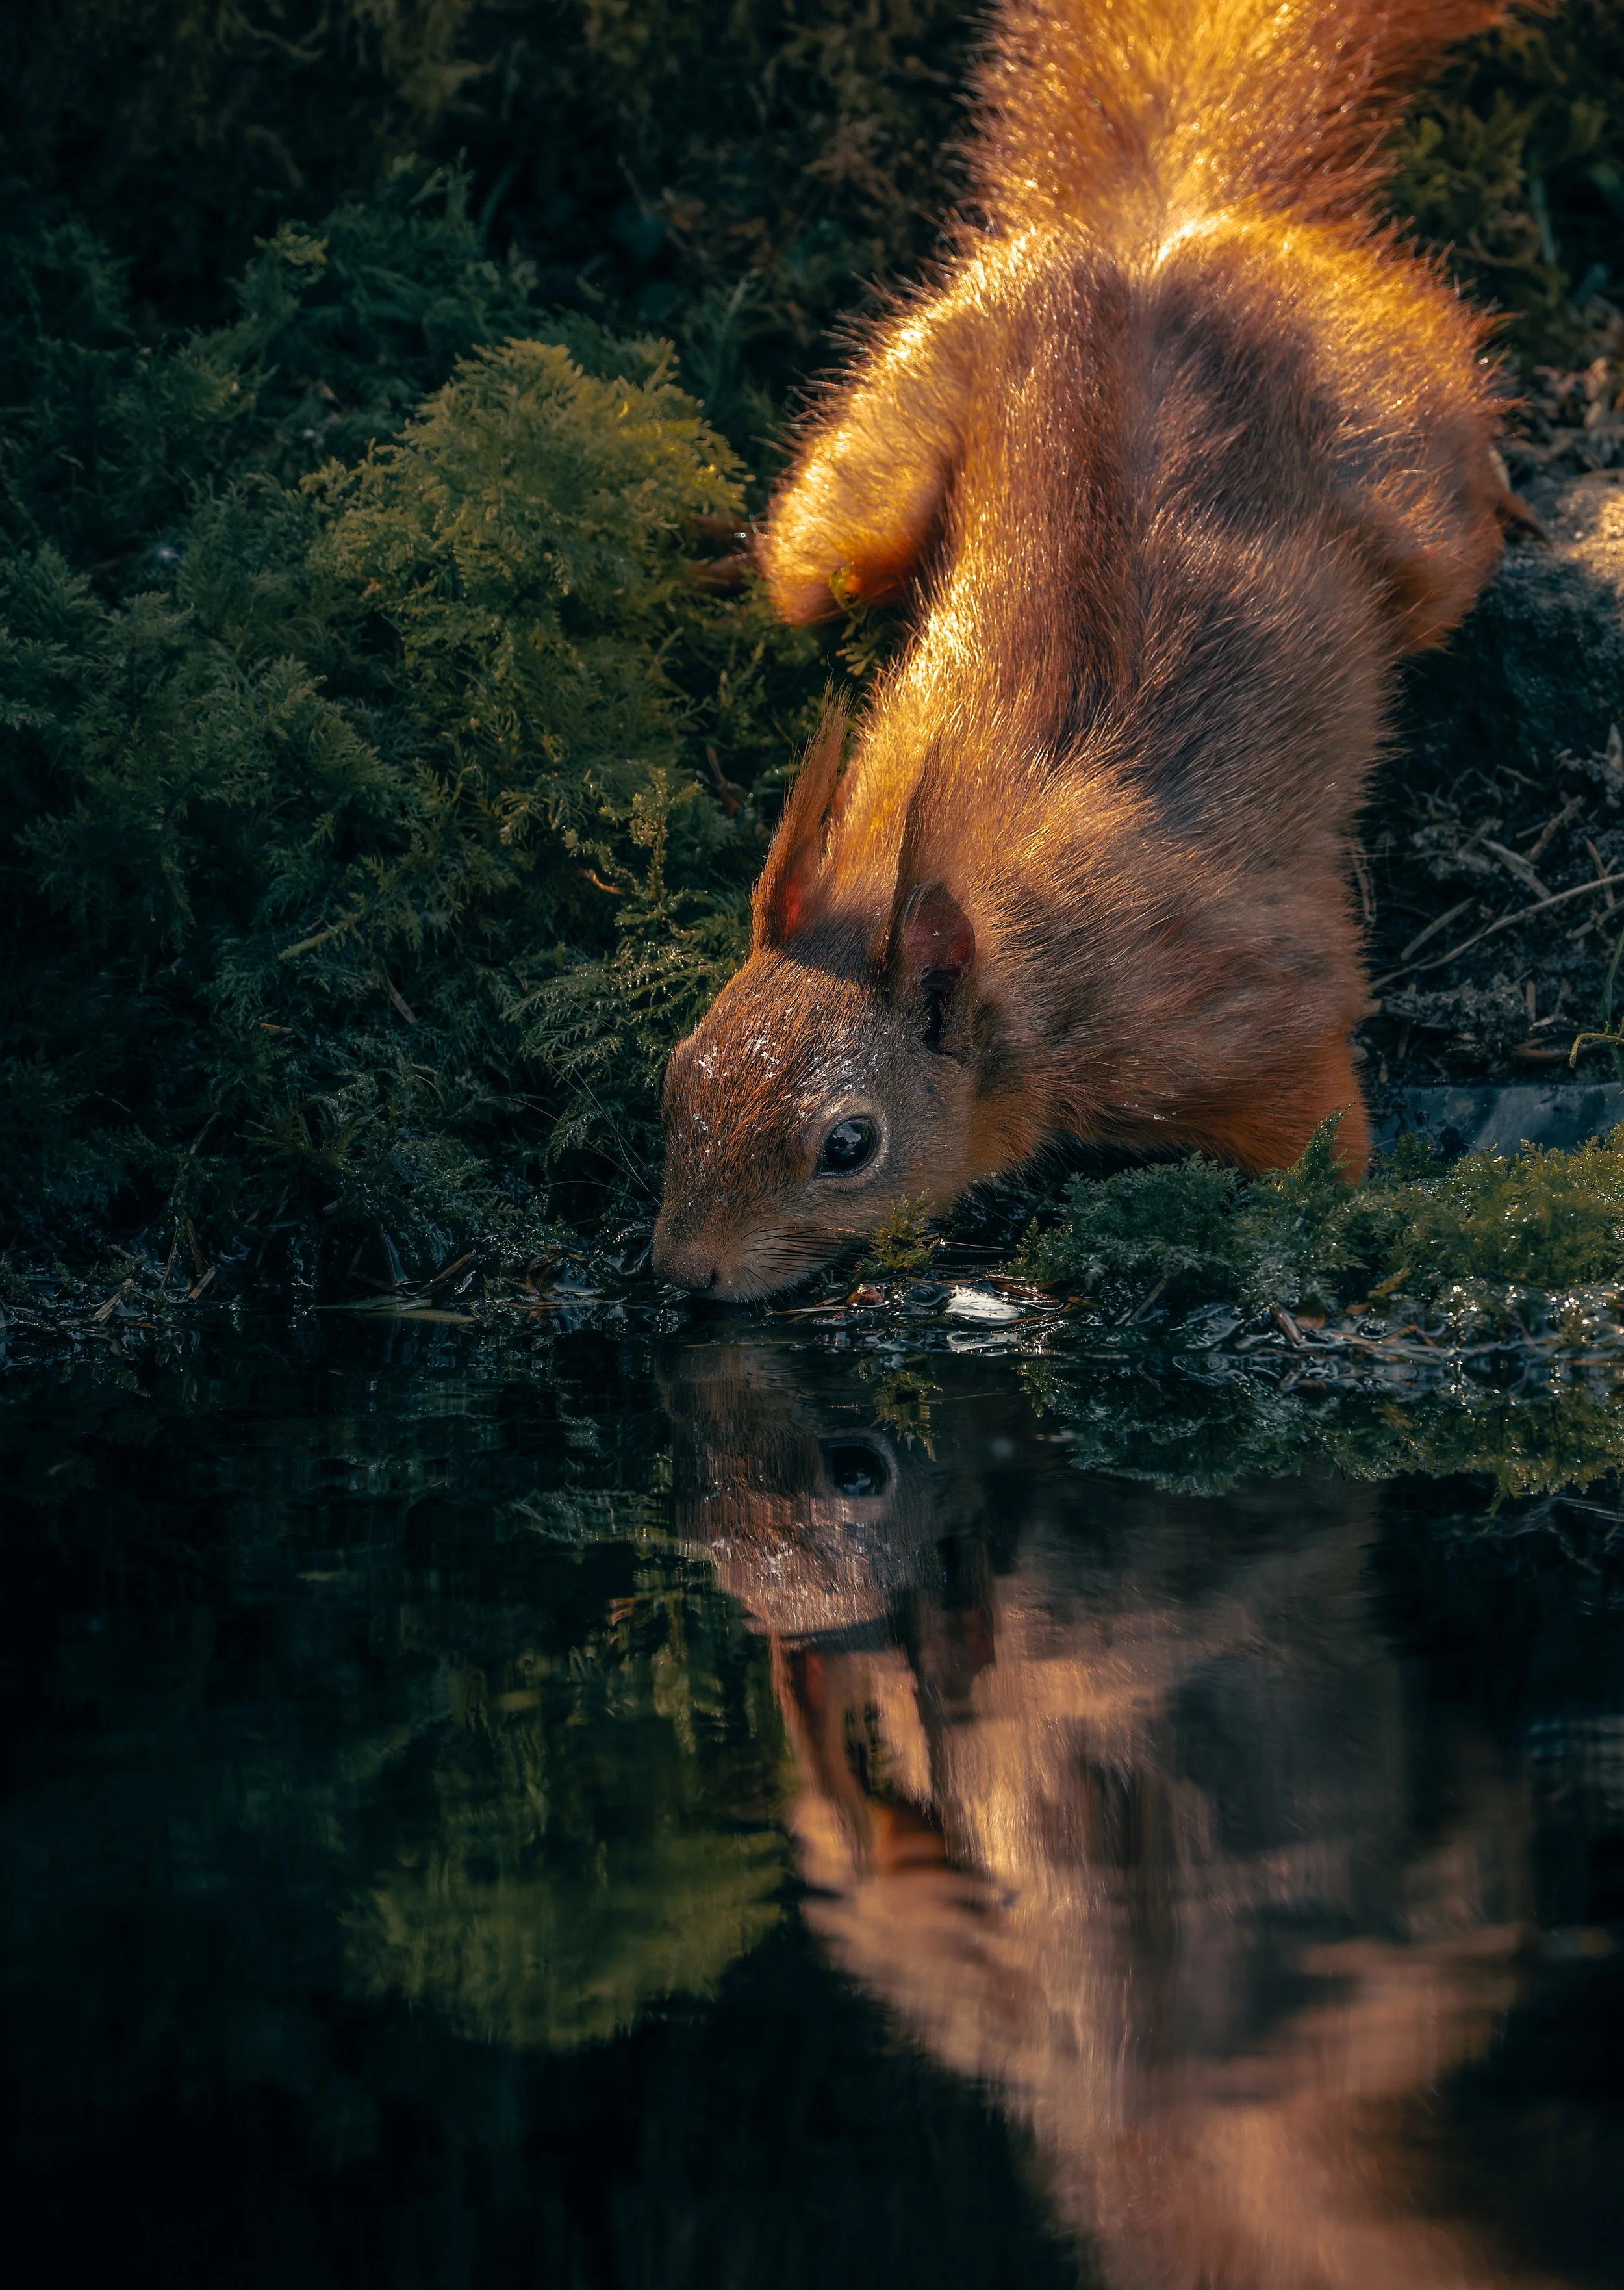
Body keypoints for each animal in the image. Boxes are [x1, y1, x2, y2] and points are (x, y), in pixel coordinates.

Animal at [654, 0, 1524, 1299]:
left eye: (848, 1147)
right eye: (674, 1075)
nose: (684, 1273)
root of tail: (1149, 250)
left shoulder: (1234, 1008)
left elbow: (1320, 1131)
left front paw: (1343, 1210)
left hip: (1403, 473)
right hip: (907, 414)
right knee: (811, 564)